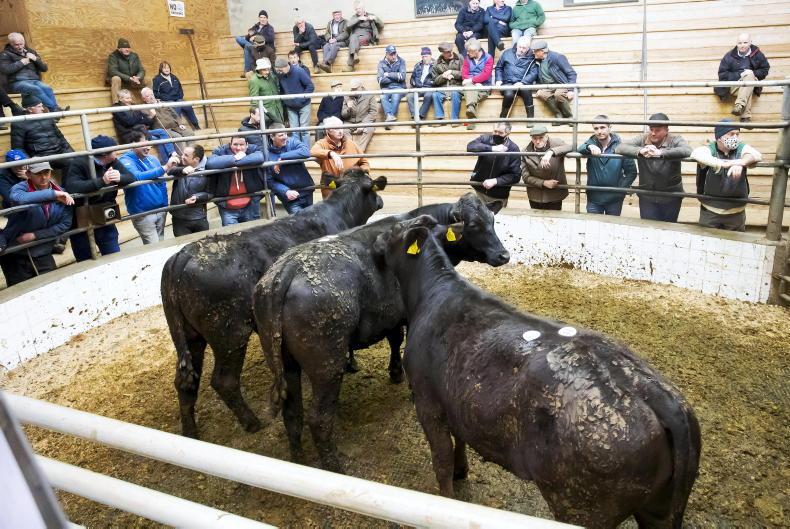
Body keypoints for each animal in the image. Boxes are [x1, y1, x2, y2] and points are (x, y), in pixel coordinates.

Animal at [161, 169, 387, 439]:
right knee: (224, 381)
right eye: (373, 187)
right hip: (230, 334)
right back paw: (252, 422)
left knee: (185, 381)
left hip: (189, 335)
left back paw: (190, 432)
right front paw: (352, 363)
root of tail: (184, 254)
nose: (381, 201)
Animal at [253, 193, 510, 472]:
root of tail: (286, 269)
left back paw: (298, 459)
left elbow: (394, 338)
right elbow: (398, 339)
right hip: (326, 364)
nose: (503, 255)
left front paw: (395, 372)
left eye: (492, 219)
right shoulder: (404, 312)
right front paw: (403, 379)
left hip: (285, 360)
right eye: (473, 225)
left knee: (292, 411)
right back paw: (335, 467)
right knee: (318, 419)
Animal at [372, 215, 701, 528]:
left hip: (582, 503)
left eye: (394, 230)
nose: (374, 238)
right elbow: (460, 438)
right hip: (659, 507)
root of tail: (655, 393)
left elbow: (440, 460)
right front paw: (462, 470)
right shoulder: (454, 400)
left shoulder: (427, 402)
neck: (431, 293)